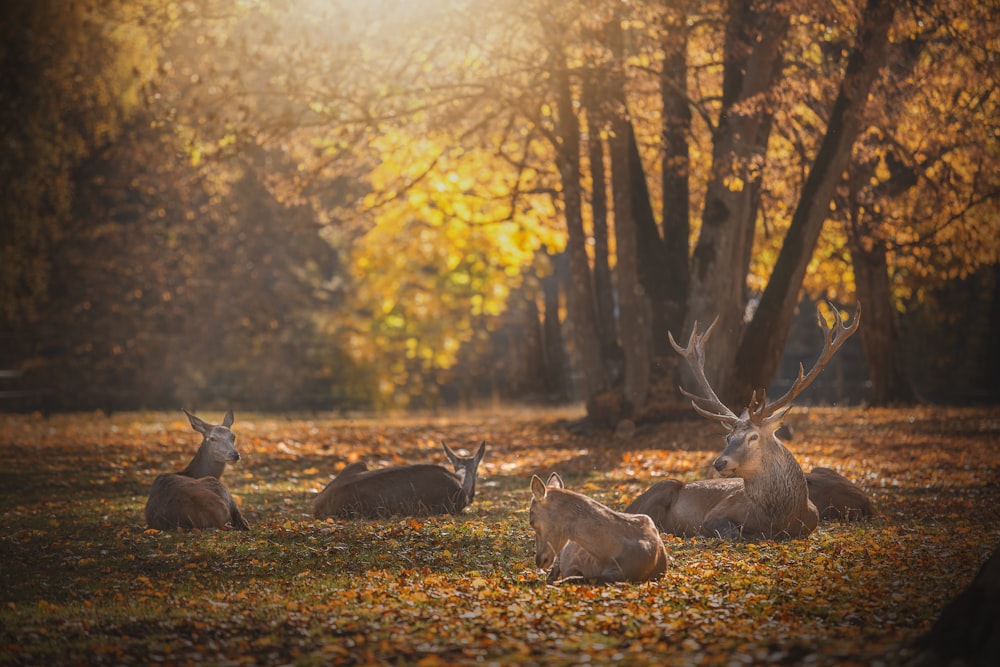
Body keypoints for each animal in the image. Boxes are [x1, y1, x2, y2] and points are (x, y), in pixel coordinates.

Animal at [628, 306, 864, 540]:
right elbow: (733, 533)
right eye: (728, 437)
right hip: (663, 486)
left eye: (753, 437)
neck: (782, 517)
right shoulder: (713, 516)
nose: (719, 463)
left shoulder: (811, 523)